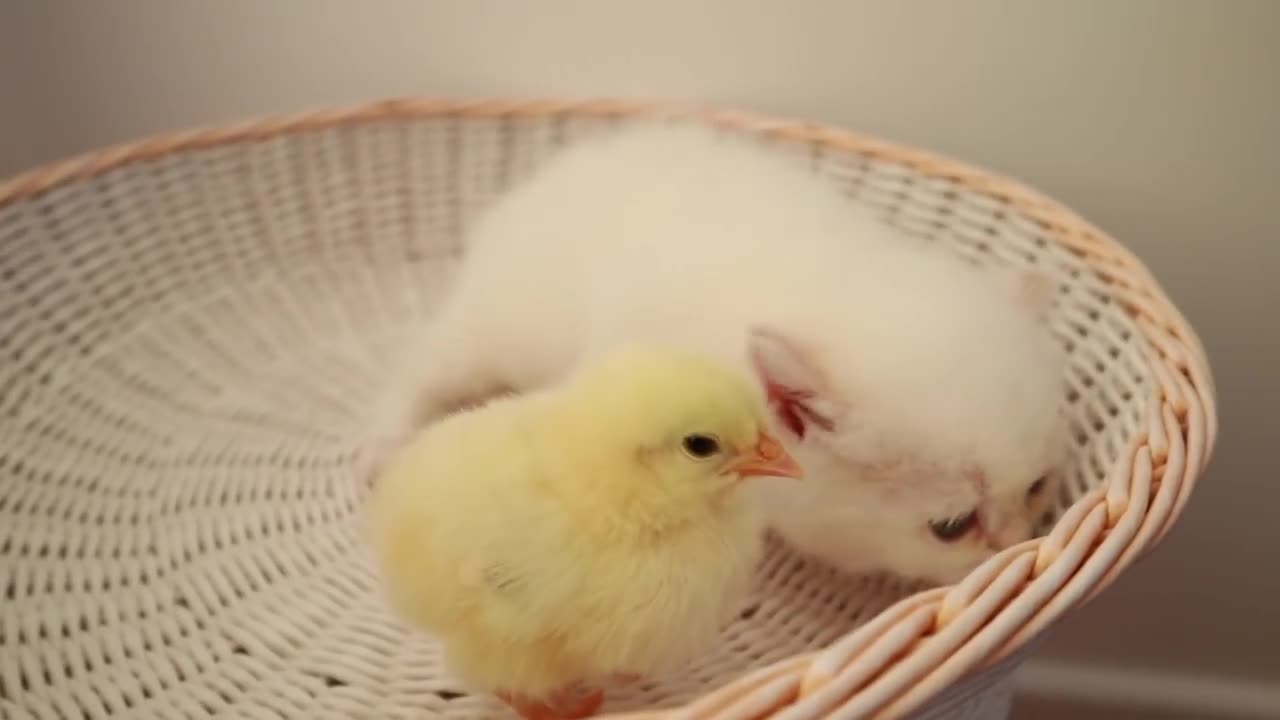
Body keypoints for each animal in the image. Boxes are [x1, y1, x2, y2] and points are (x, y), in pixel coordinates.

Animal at [368, 122, 1070, 584]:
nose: (1013, 544)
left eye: (1037, 487)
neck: (823, 282)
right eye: (951, 527)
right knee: (428, 364)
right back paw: (384, 444)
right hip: (489, 323)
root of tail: (565, 165)